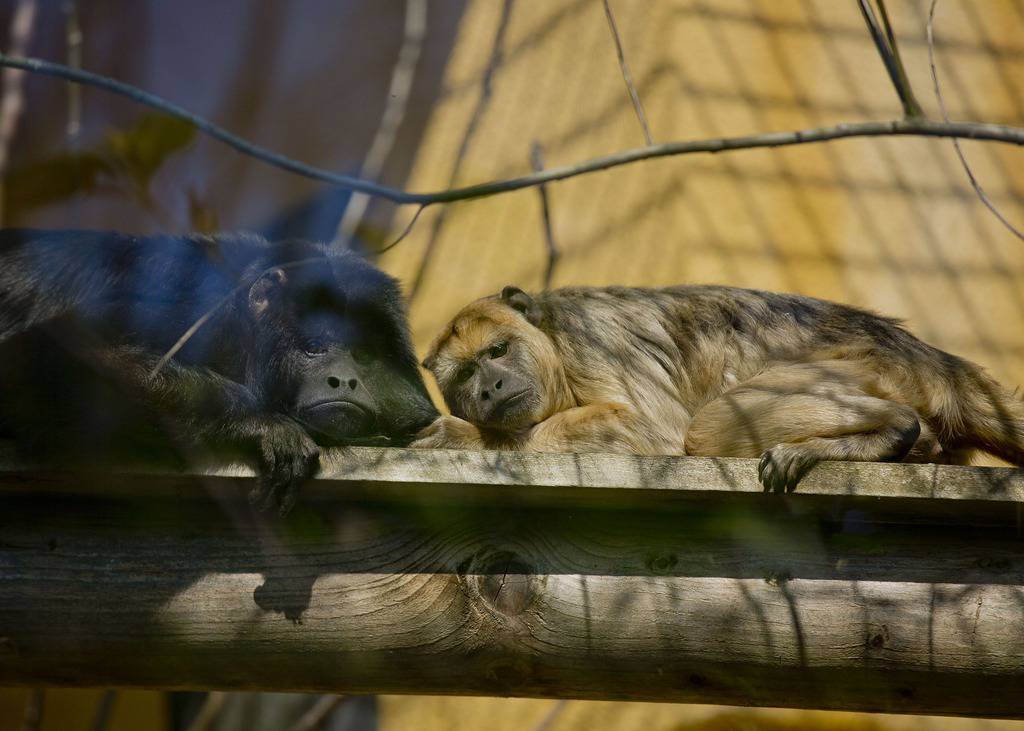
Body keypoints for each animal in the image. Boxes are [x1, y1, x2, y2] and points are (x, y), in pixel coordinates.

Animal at [411, 284, 1024, 489]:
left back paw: (893, 431)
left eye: (497, 352)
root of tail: (929, 358)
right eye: (464, 375)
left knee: (708, 429)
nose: (490, 387)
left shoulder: (590, 339)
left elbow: (653, 431)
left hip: (864, 367)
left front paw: (466, 438)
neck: (553, 341)